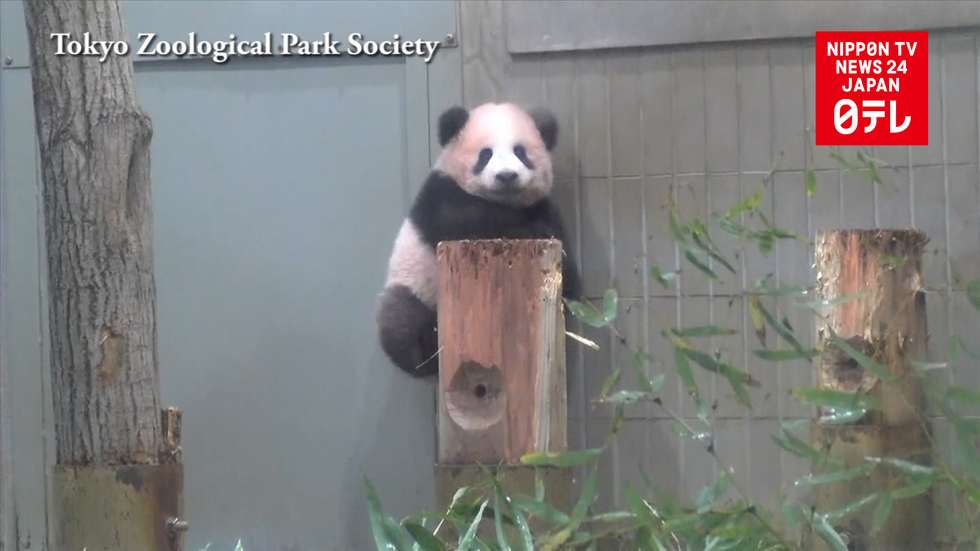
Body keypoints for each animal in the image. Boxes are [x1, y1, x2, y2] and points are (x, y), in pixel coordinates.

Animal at [376, 101, 583, 378]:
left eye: (520, 152)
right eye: (485, 155)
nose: (506, 176)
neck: (504, 201)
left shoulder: (543, 207)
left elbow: (570, 280)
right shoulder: (440, 195)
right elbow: (466, 218)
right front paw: (527, 229)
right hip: (413, 285)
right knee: (400, 321)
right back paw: (424, 349)